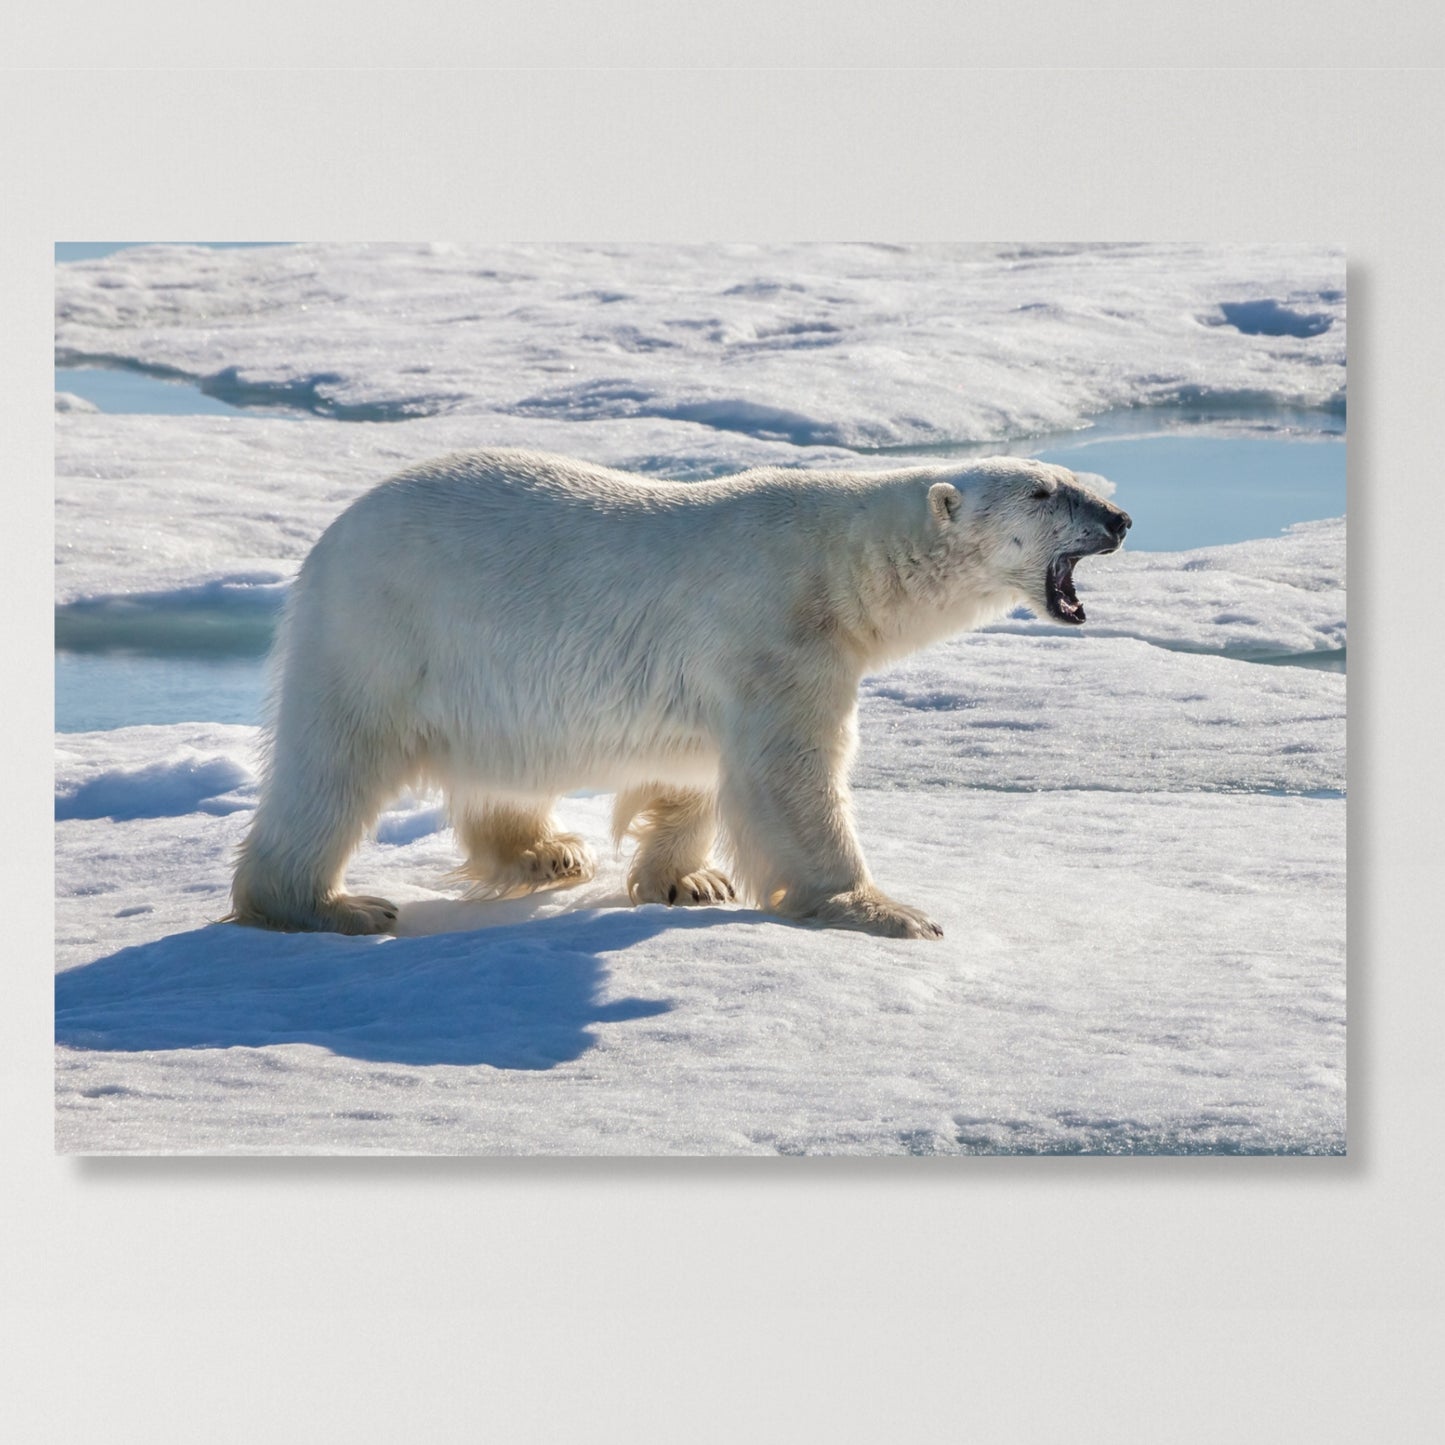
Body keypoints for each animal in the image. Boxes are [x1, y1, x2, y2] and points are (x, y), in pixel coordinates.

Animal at [228, 449, 1130, 940]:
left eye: (1075, 478)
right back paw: (329, 904)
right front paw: (883, 909)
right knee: (332, 766)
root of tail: (330, 537)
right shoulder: (777, 634)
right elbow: (789, 777)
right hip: (384, 631)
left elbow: (697, 766)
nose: (1119, 517)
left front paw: (687, 881)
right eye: (1042, 492)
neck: (841, 568)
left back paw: (545, 850)